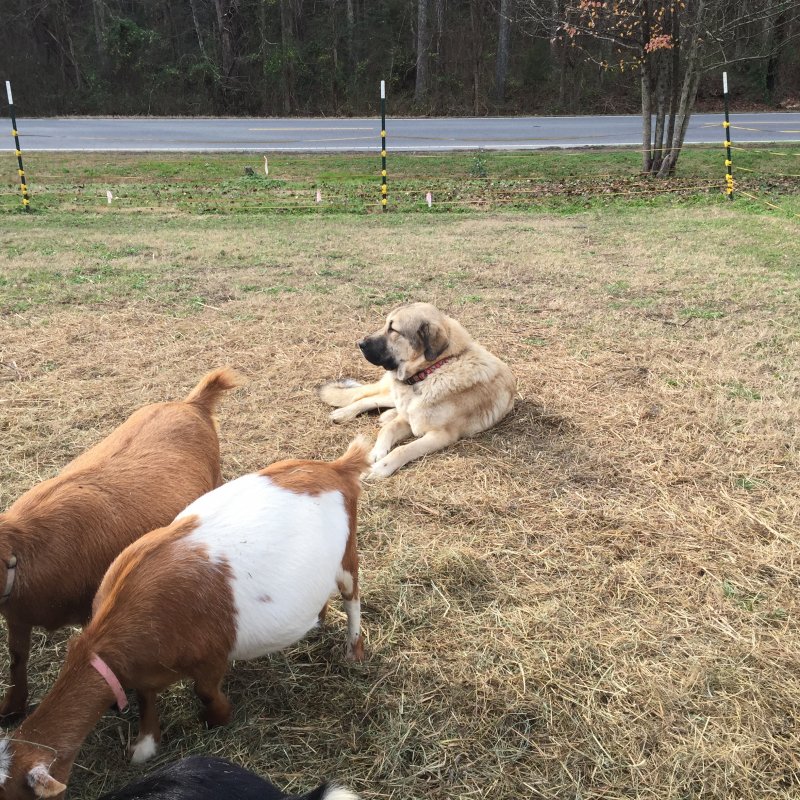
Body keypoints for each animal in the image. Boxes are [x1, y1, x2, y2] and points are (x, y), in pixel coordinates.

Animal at [0, 440, 370, 796]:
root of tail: (337, 469)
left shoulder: (212, 657)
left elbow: (205, 692)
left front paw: (217, 719)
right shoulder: (143, 668)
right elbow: (145, 696)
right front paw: (146, 744)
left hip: (346, 556)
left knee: (352, 599)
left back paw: (353, 651)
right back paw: (317, 621)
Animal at [320, 300, 516, 476]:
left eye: (393, 329)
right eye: (386, 324)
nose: (359, 343)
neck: (432, 370)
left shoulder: (440, 435)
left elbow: (402, 449)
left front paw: (379, 467)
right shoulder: (408, 419)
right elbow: (387, 429)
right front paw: (375, 453)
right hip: (389, 396)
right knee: (366, 398)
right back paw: (344, 413)